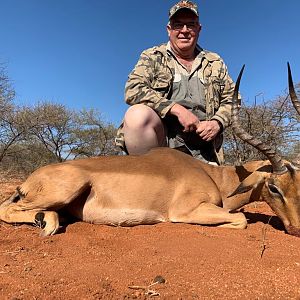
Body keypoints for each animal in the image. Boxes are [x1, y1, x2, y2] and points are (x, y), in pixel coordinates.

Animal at [0, 65, 298, 237]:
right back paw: (47, 222)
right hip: (65, 189)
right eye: (274, 188)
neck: (216, 178)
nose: (296, 229)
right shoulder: (186, 210)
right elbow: (241, 219)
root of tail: (30, 179)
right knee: (8, 208)